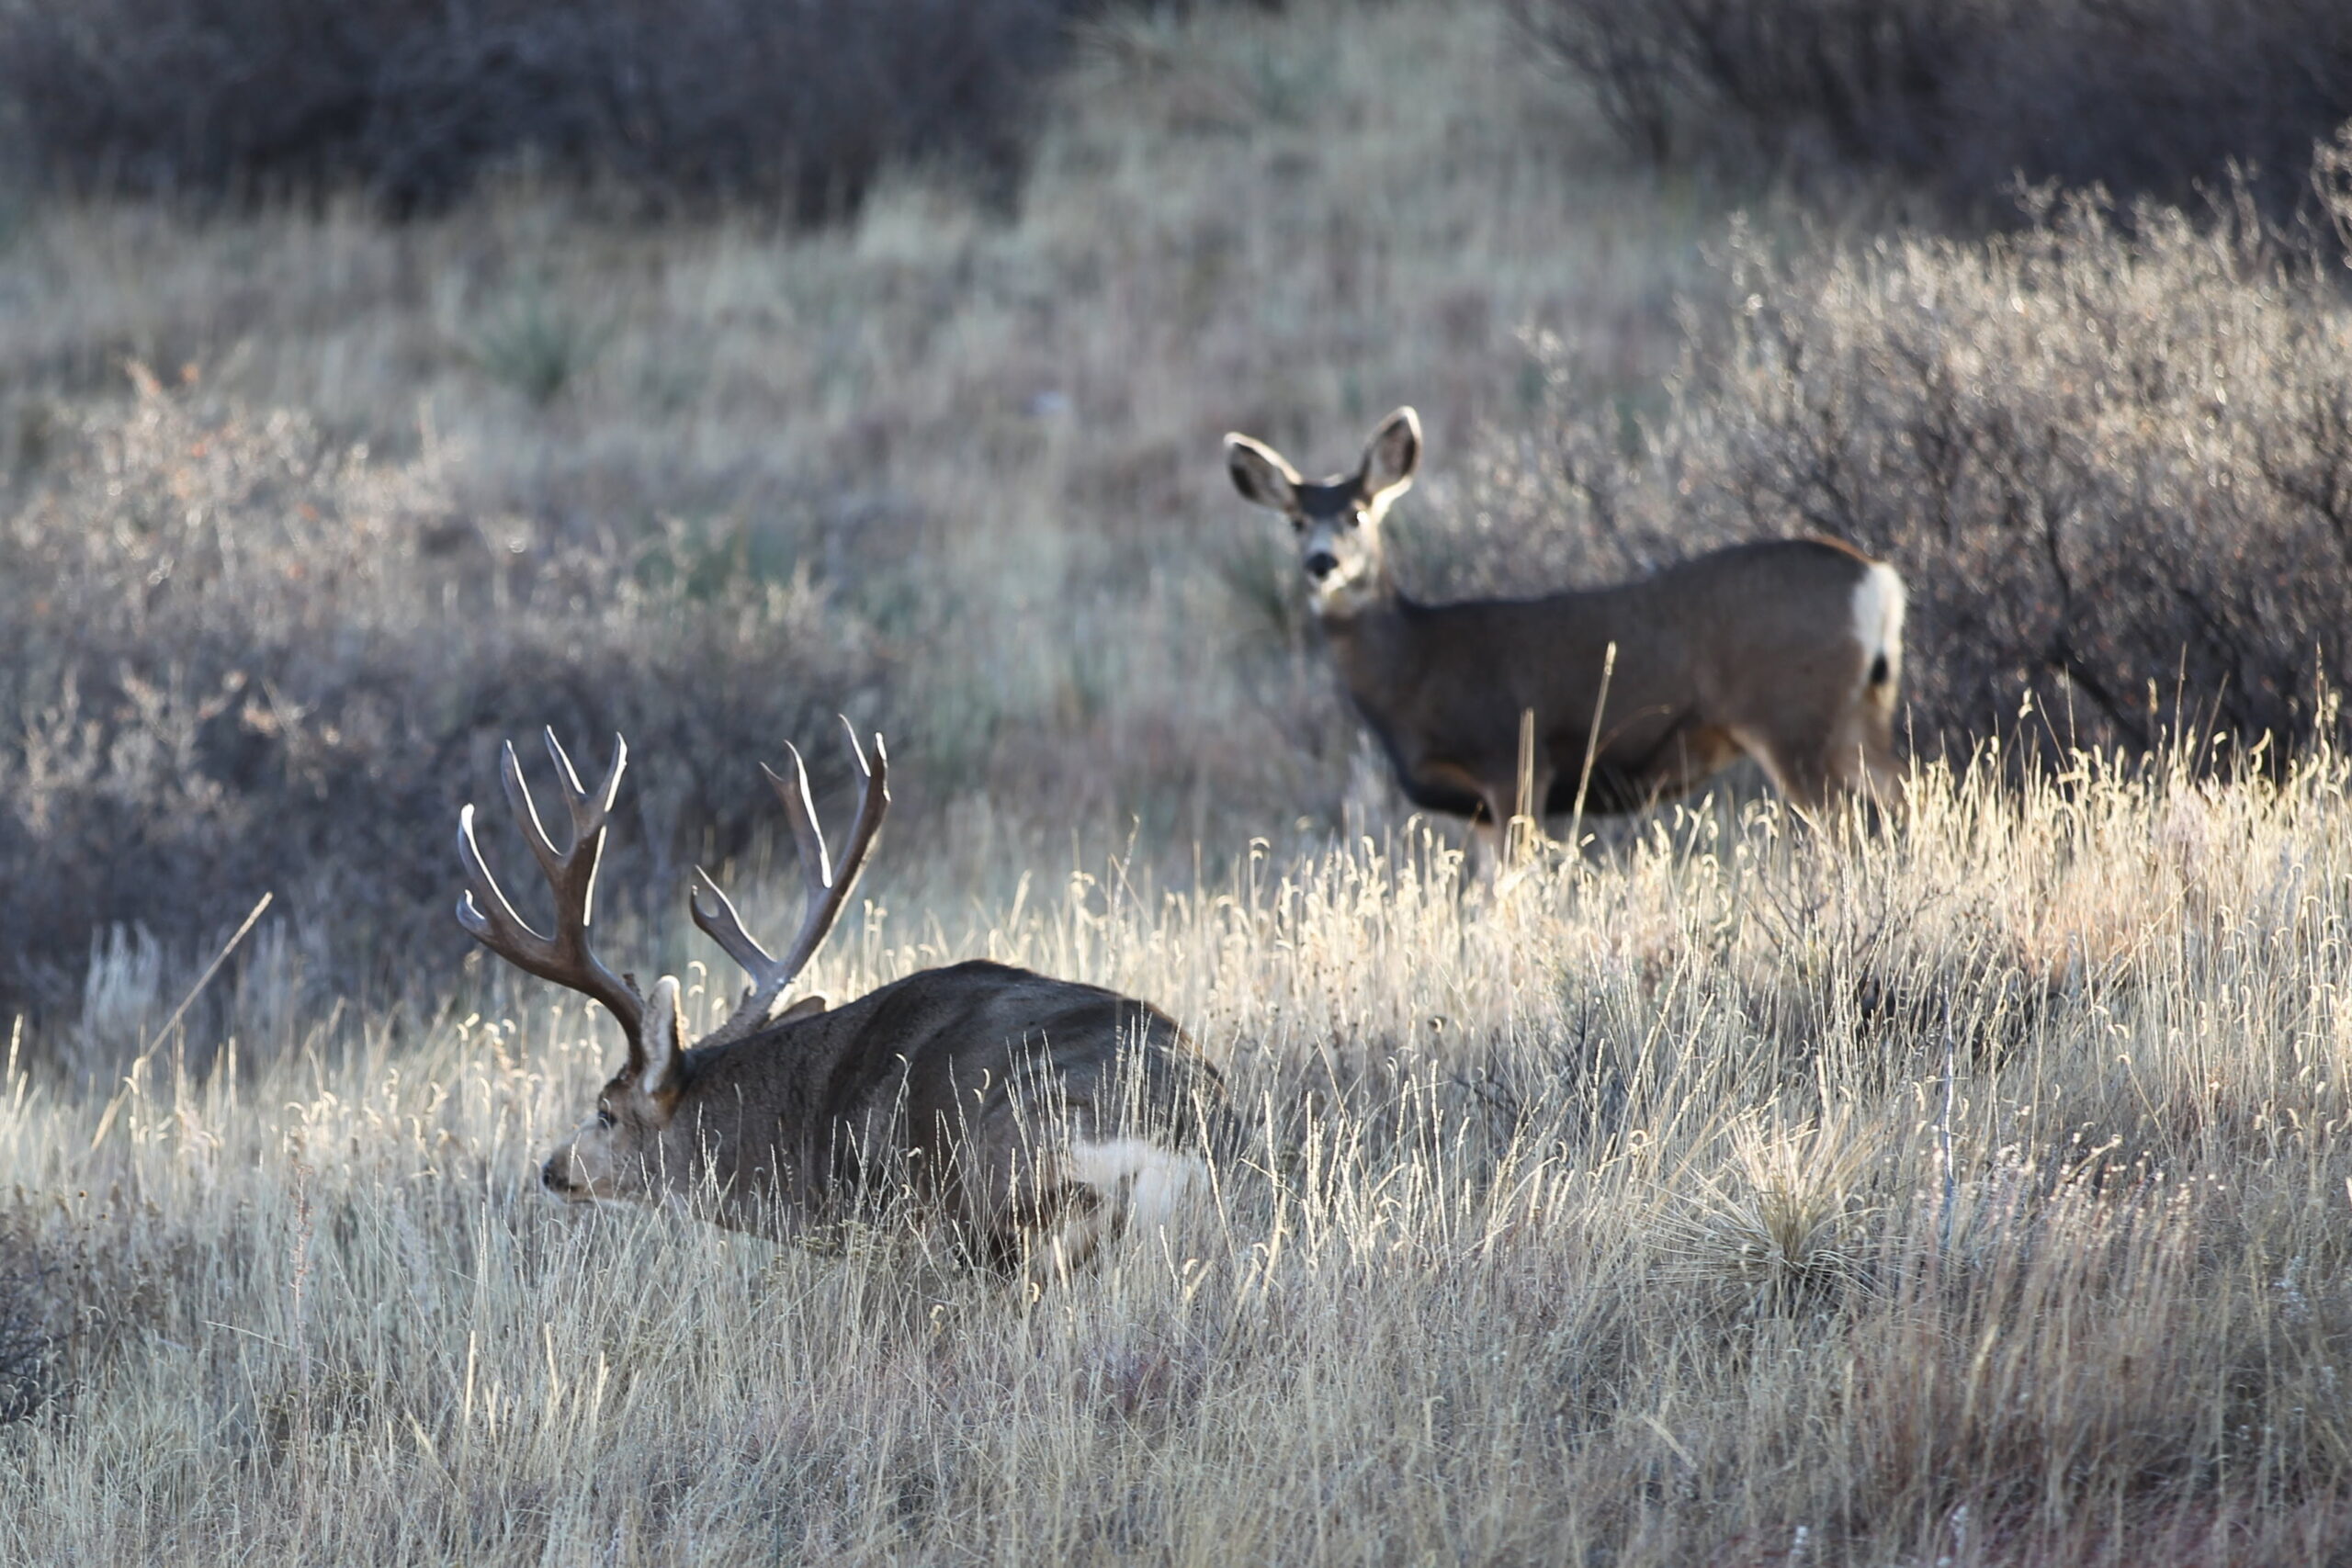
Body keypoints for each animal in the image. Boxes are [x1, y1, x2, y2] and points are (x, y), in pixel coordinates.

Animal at [1232, 411, 1909, 841]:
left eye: (1356, 512)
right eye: (1295, 521)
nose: (1321, 563)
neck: (1415, 668)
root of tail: (1878, 580)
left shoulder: (1513, 760)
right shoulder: (1479, 808)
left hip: (1792, 713)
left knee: (1844, 823)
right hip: (1859, 709)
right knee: (1907, 792)